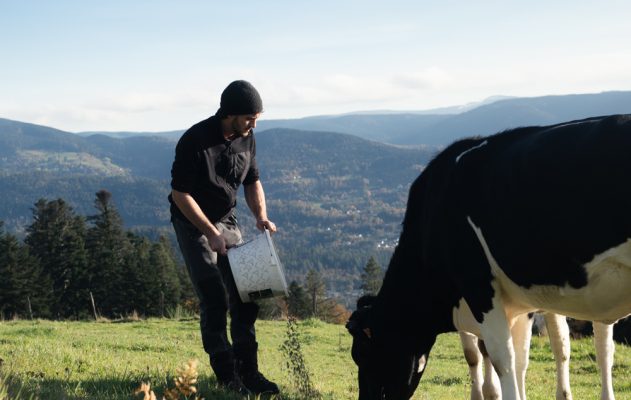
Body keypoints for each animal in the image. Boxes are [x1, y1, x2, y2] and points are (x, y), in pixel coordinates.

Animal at [346, 114, 631, 398]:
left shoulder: (479, 288)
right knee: (592, 347)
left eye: (362, 354)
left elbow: (503, 360)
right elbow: (509, 359)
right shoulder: (513, 305)